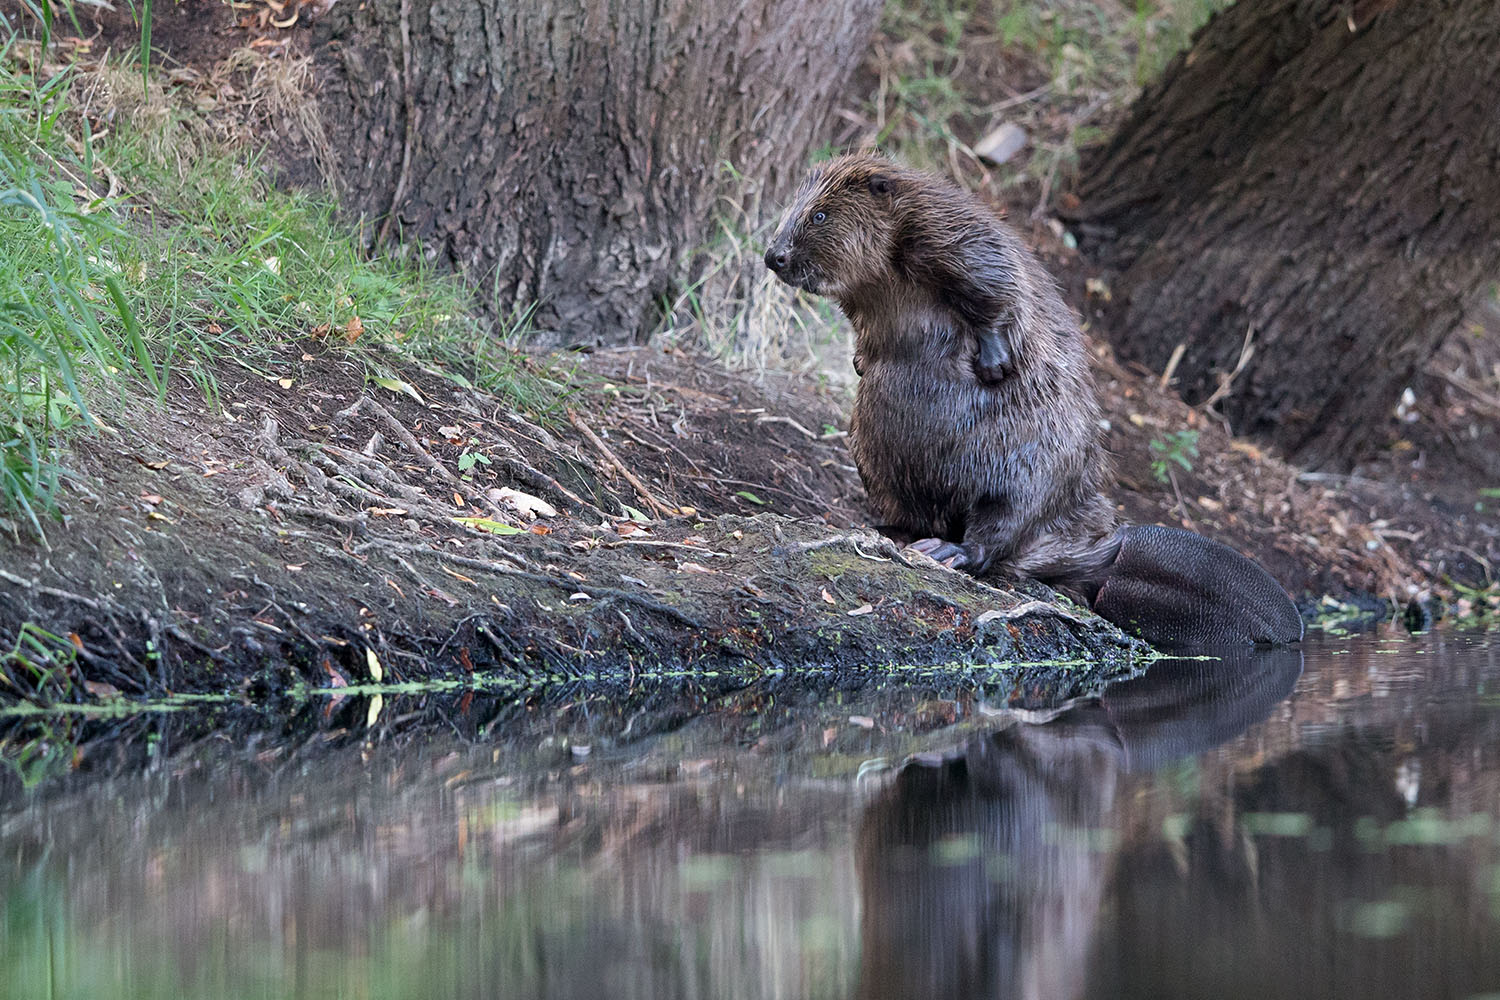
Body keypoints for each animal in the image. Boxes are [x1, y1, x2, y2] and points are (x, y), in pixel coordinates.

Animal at [762, 152, 1302, 644]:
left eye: (820, 215)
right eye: (796, 208)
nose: (774, 256)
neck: (889, 269)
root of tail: (1104, 552)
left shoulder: (945, 228)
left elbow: (994, 283)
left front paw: (995, 361)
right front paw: (859, 362)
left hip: (1028, 468)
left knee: (997, 529)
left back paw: (946, 552)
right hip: (873, 456)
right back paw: (888, 530)